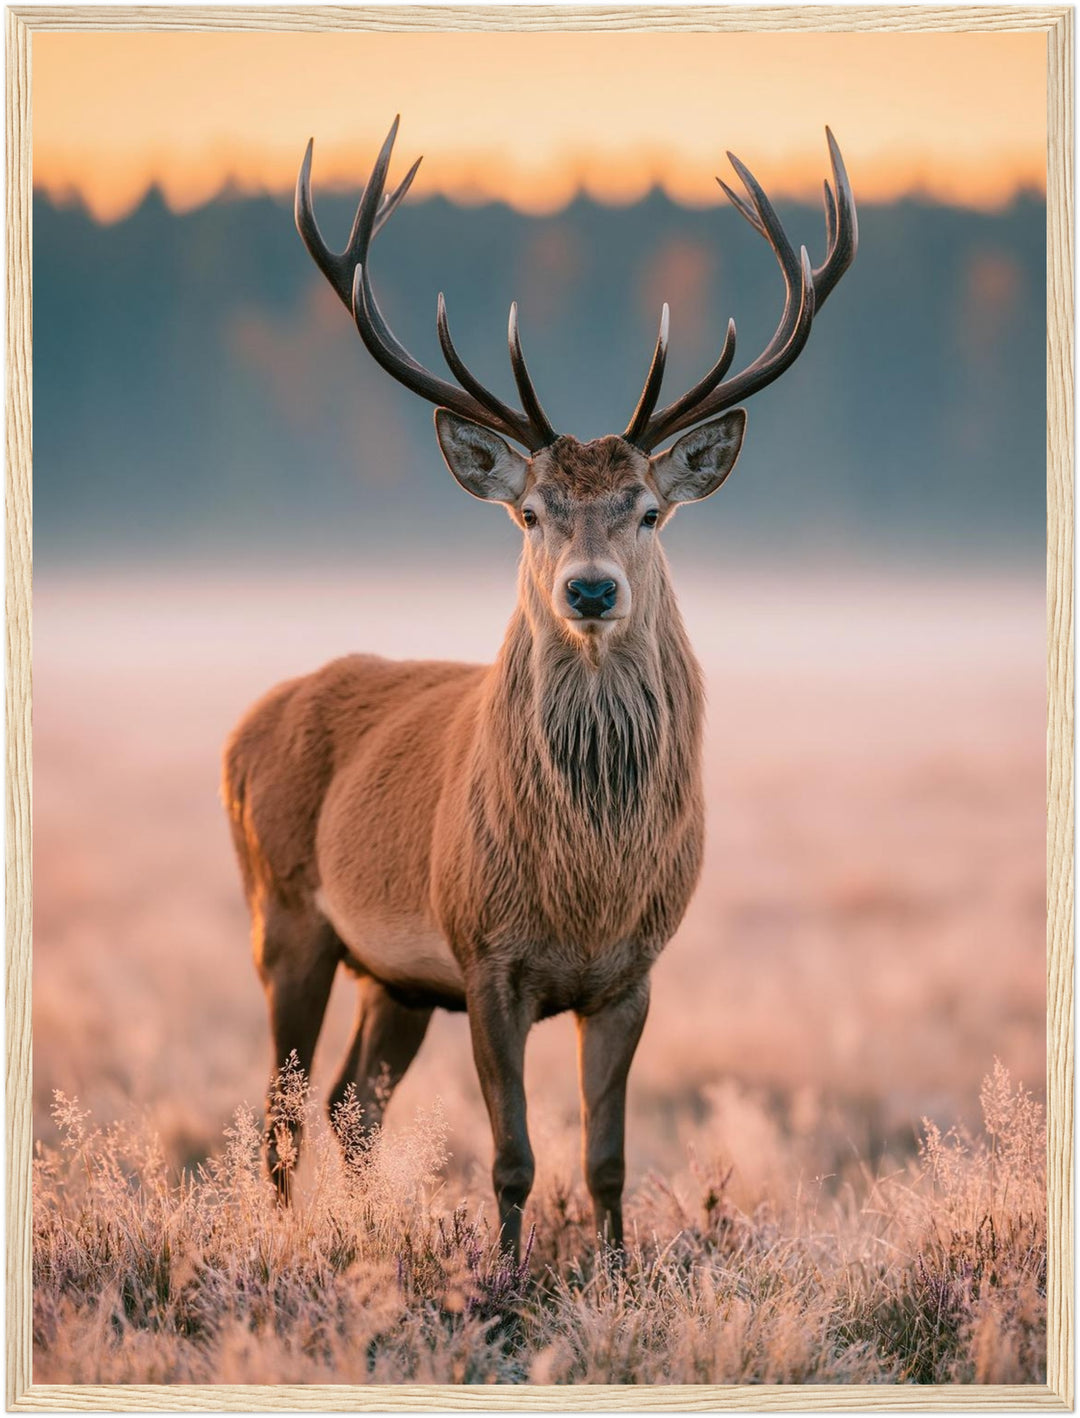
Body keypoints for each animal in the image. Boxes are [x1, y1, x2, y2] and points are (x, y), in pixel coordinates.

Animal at [223, 117, 856, 1258]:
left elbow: (606, 1158)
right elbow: (512, 1156)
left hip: (395, 978)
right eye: (530, 512)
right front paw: (509, 1277)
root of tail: (243, 728)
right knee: (283, 1109)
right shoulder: (486, 955)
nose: (591, 587)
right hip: (282, 911)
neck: (584, 887)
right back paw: (283, 1240)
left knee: (349, 1104)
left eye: (649, 509)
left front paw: (614, 1268)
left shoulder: (634, 971)